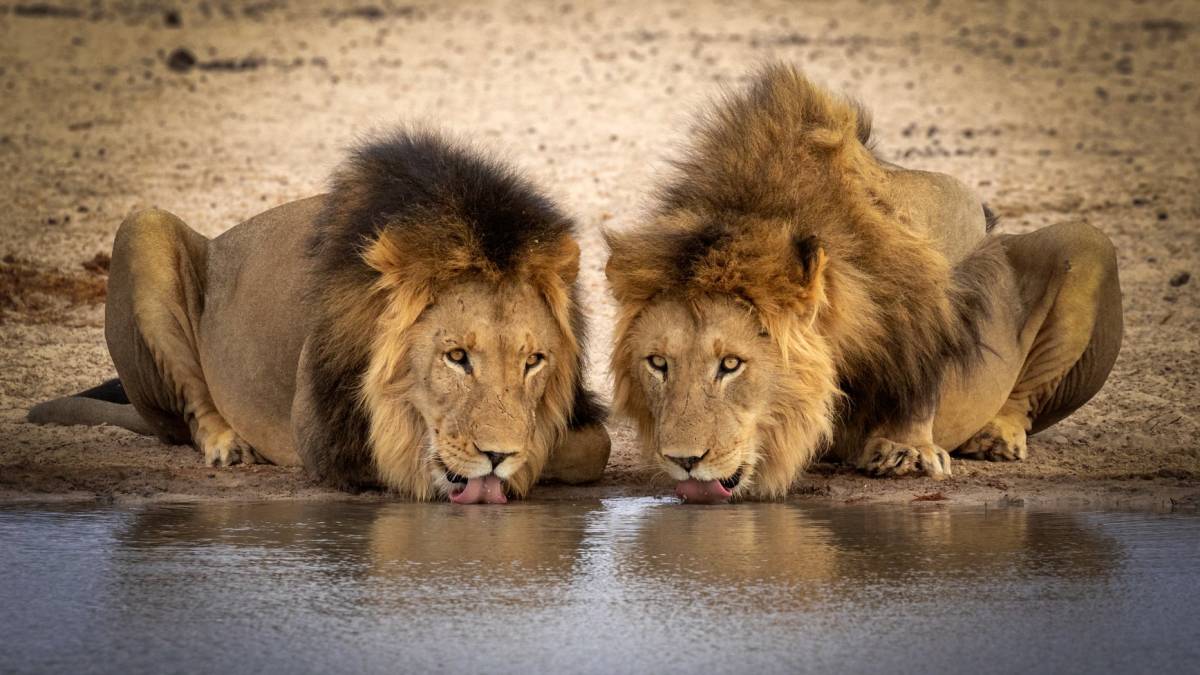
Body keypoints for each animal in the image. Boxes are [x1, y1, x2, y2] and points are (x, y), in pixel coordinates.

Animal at [28, 130, 612, 502]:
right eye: (456, 357)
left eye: (534, 361)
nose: (498, 455)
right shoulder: (325, 433)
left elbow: (596, 446)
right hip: (143, 228)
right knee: (193, 405)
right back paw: (228, 445)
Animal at [605, 64, 1122, 502]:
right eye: (657, 363)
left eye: (731, 364)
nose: (683, 460)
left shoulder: (944, 222)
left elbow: (929, 356)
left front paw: (907, 451)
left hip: (1087, 244)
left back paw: (996, 436)